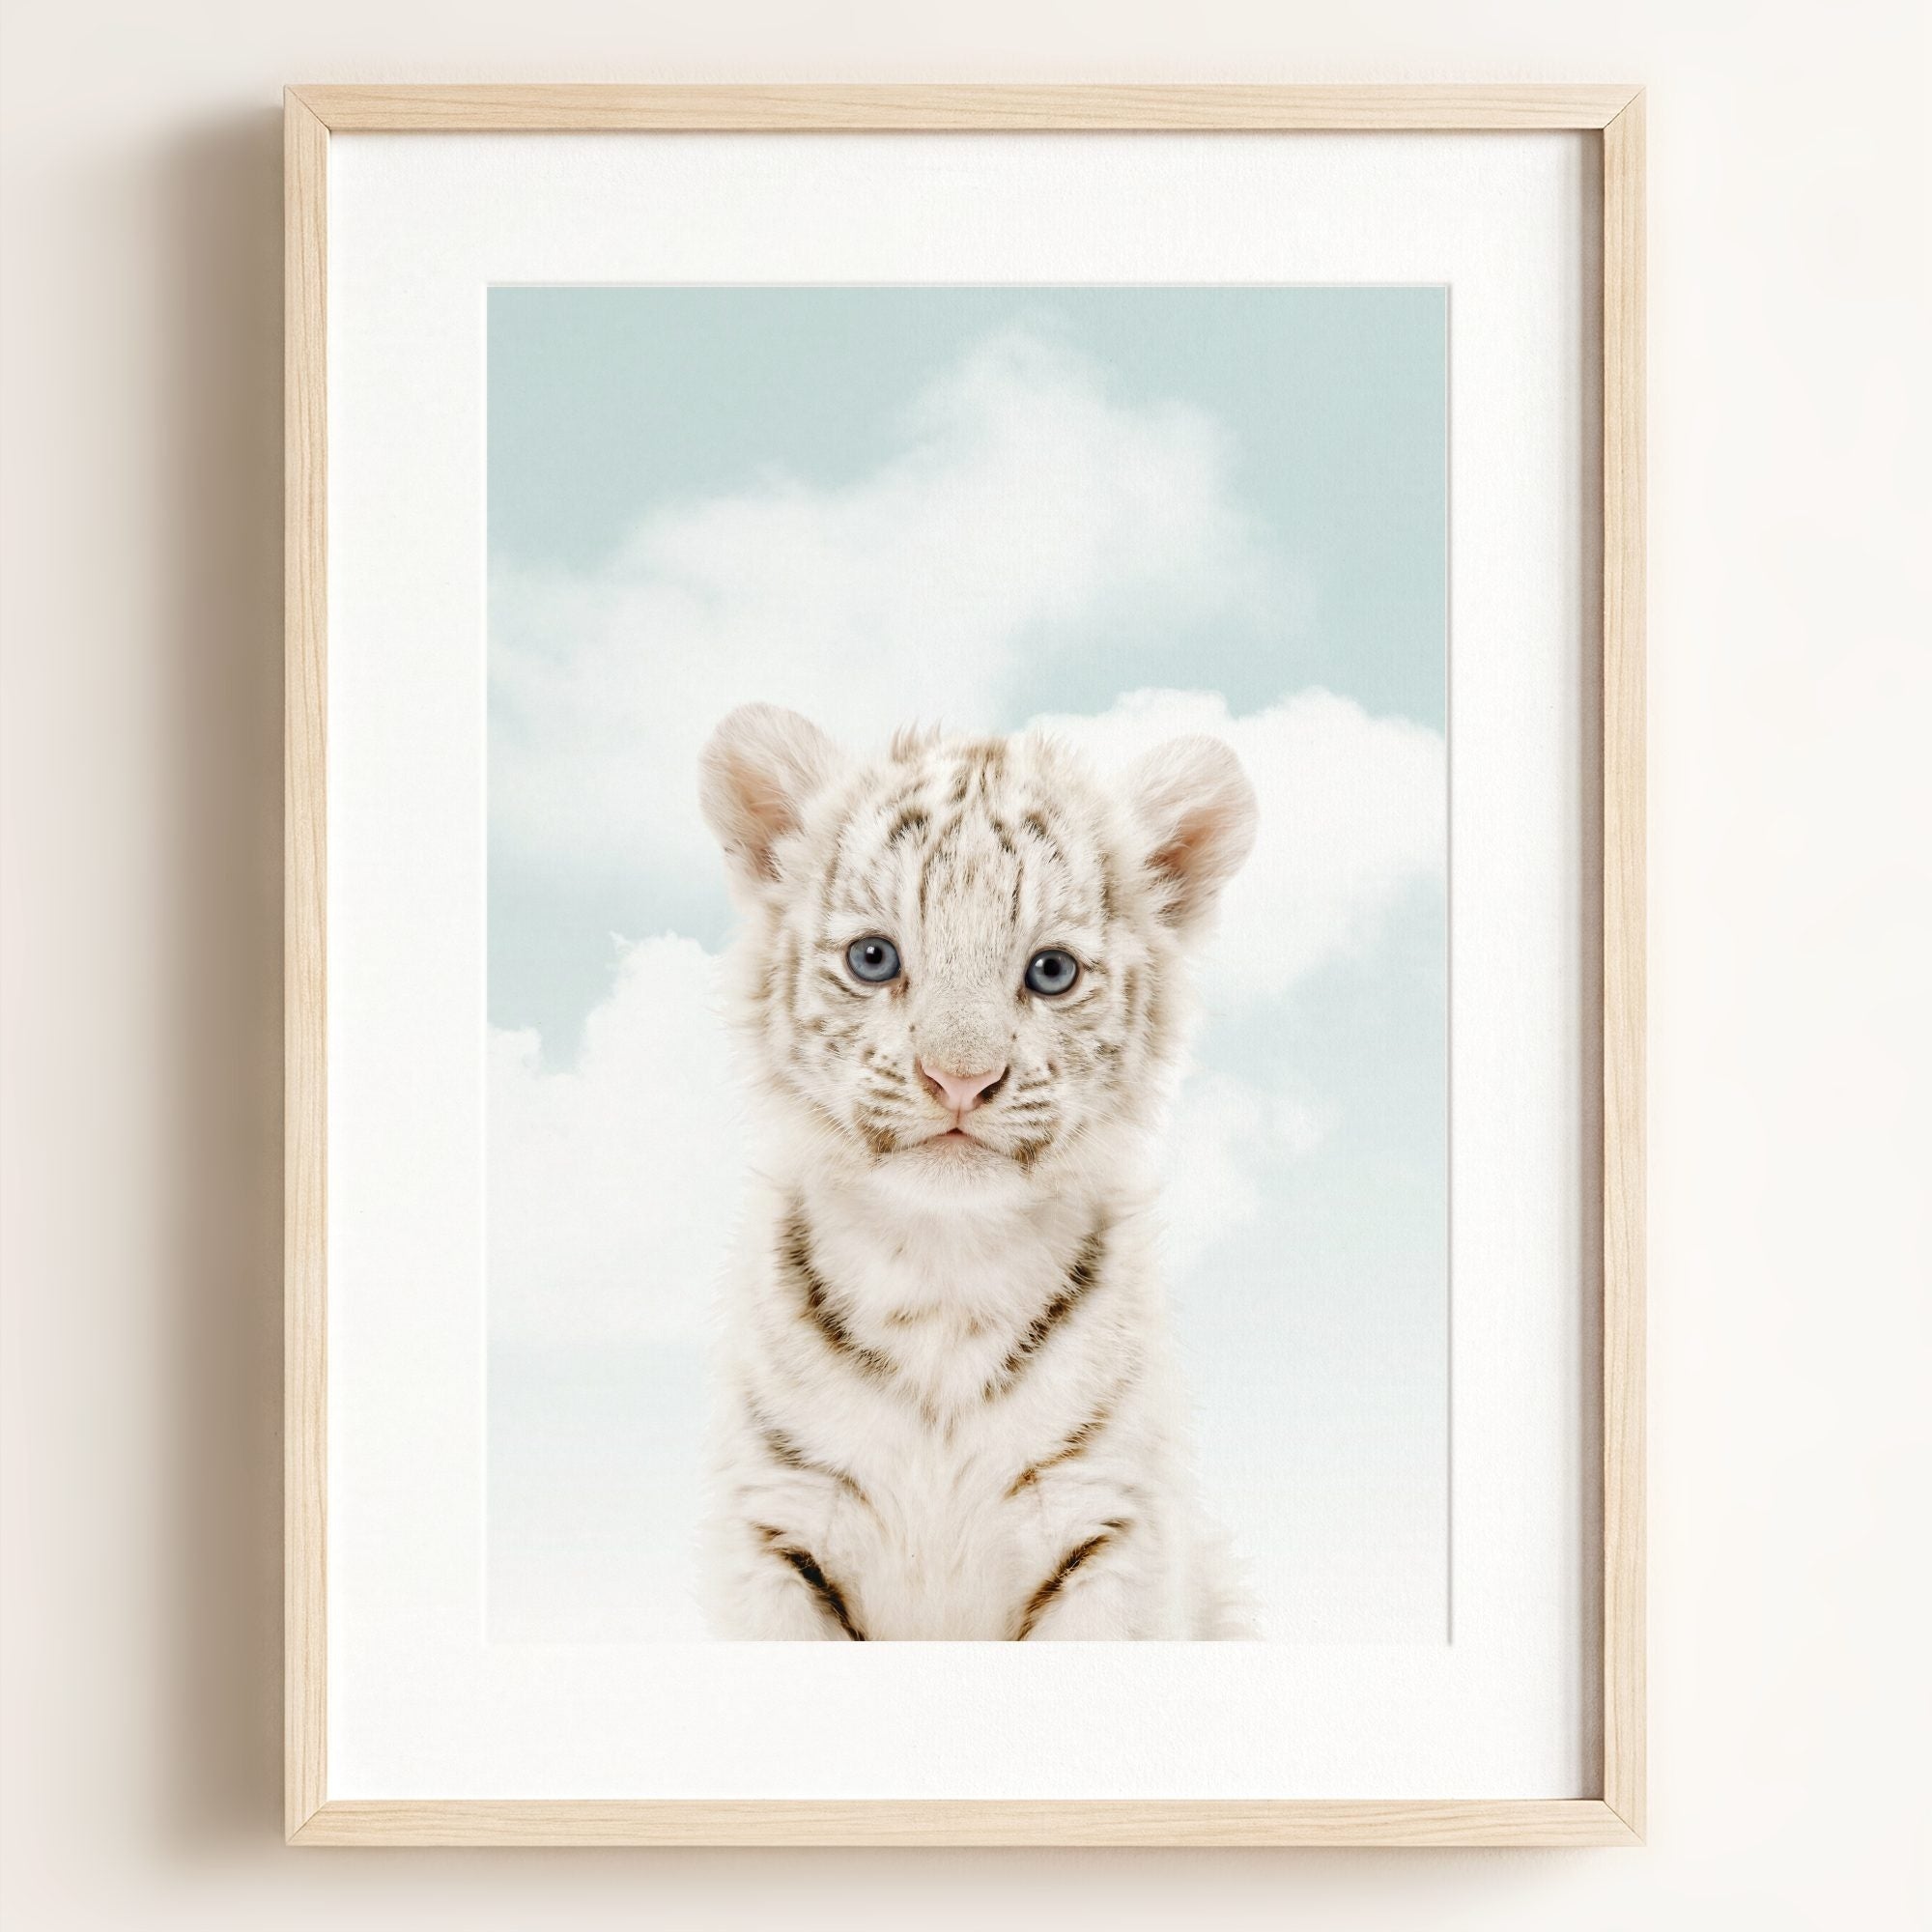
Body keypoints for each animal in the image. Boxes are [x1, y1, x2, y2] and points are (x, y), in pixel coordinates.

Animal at [696, 703, 1258, 1639]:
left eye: (1051, 971)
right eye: (874, 959)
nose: (960, 1079)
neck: (943, 1269)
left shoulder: (1110, 1527)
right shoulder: (776, 1527)